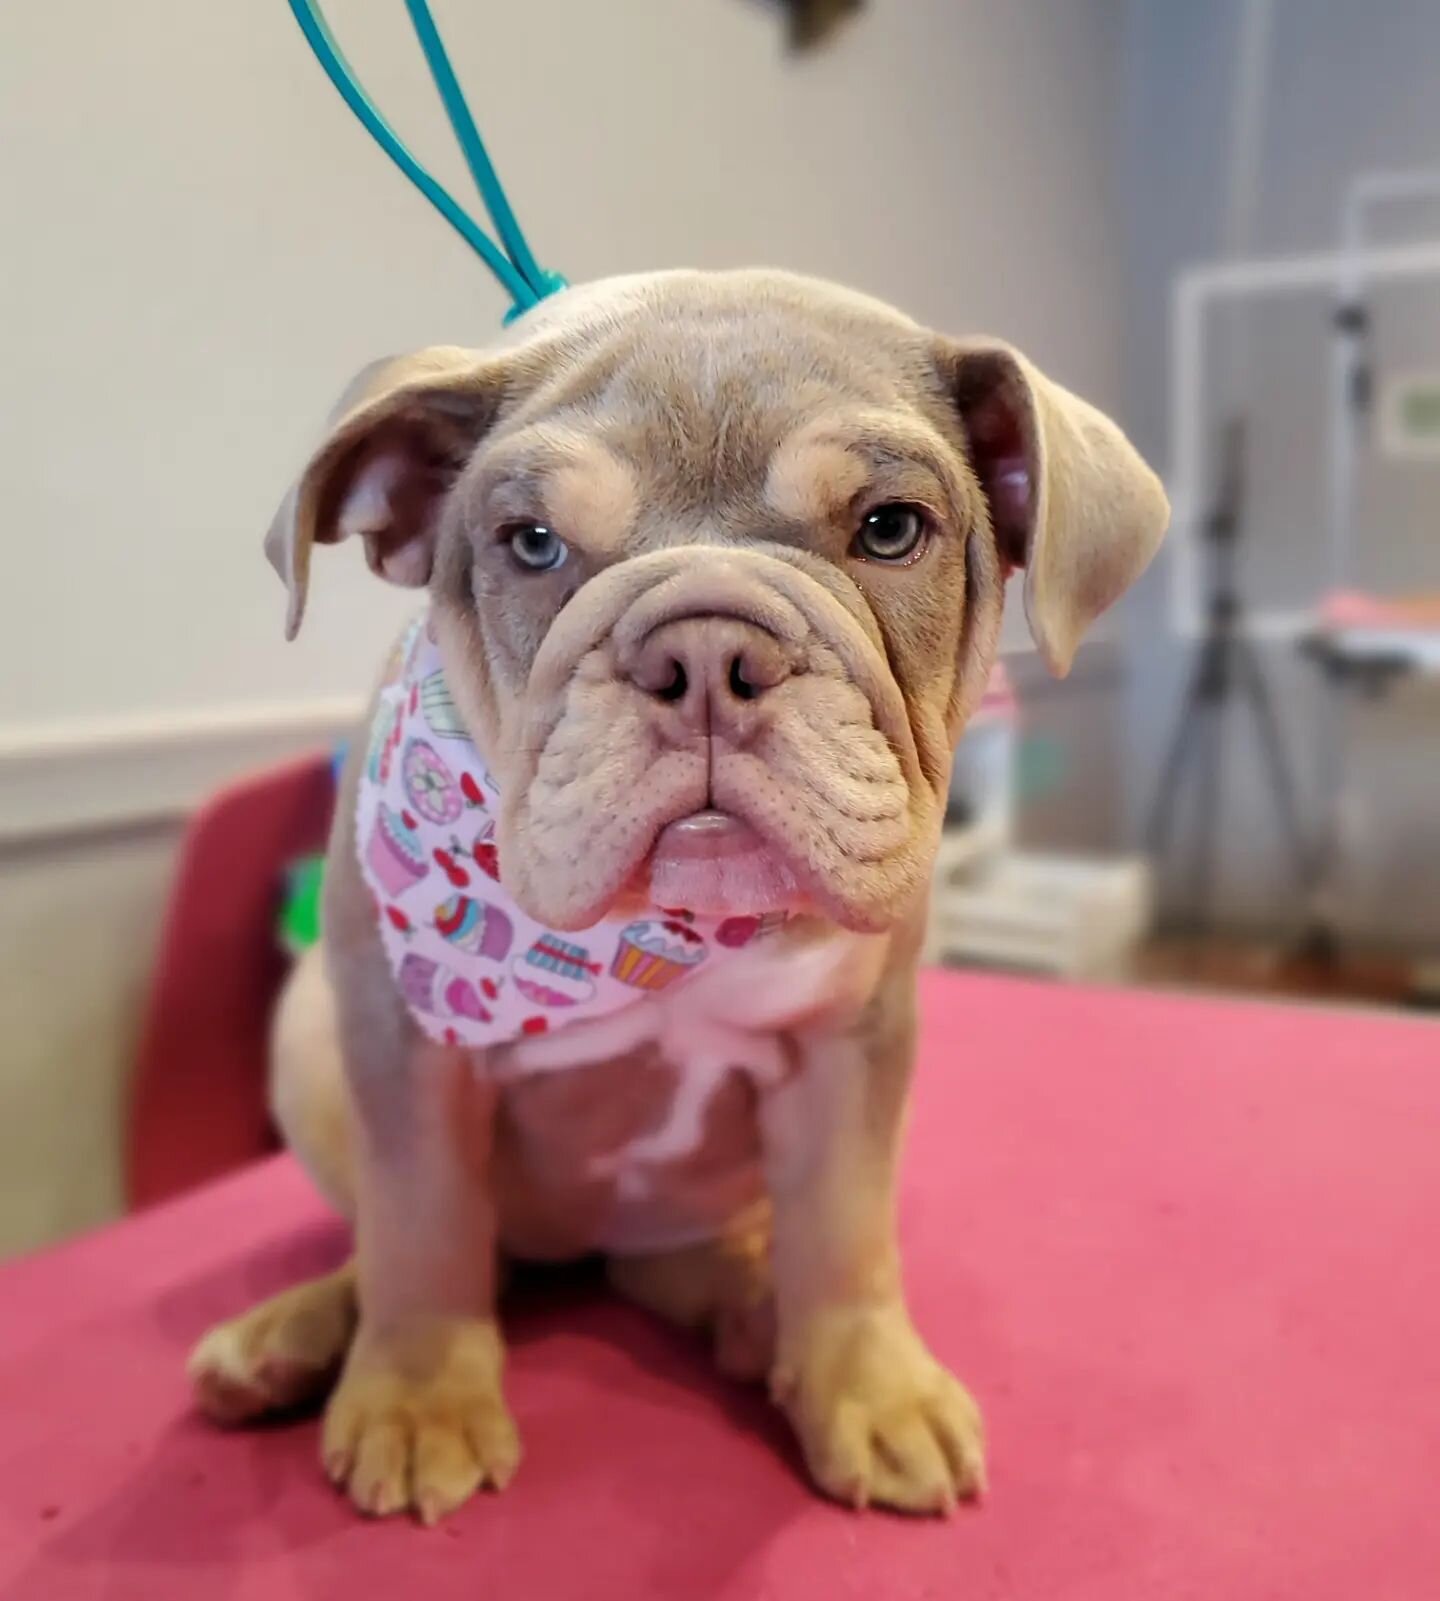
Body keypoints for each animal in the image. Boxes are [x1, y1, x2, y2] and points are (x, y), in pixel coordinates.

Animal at [189, 268, 1172, 1517]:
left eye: (890, 527)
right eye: (532, 542)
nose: (706, 651)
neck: (667, 935)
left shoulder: (852, 1046)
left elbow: (845, 1229)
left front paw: (871, 1386)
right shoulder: (399, 1040)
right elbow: (422, 1225)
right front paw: (419, 1395)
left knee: (703, 1253)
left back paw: (755, 1311)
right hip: (309, 1038)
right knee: (423, 1244)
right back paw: (288, 1336)